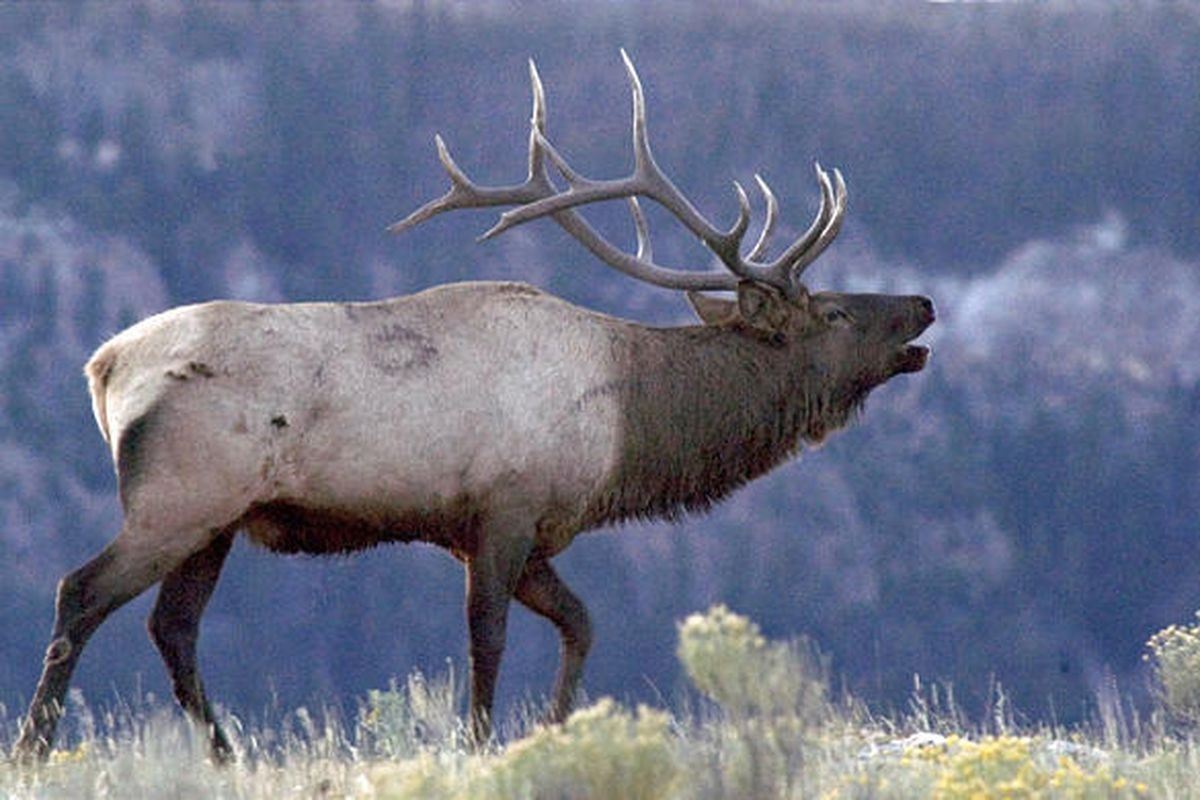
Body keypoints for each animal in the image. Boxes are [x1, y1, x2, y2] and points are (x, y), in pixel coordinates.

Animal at [15, 51, 933, 762]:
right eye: (833, 312)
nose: (921, 305)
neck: (627, 431)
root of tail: (103, 366)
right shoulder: (502, 510)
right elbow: (486, 645)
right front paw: (486, 747)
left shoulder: (522, 531)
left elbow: (582, 625)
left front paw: (555, 732)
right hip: (180, 496)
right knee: (80, 591)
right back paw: (34, 747)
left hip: (217, 521)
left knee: (173, 629)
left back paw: (226, 757)